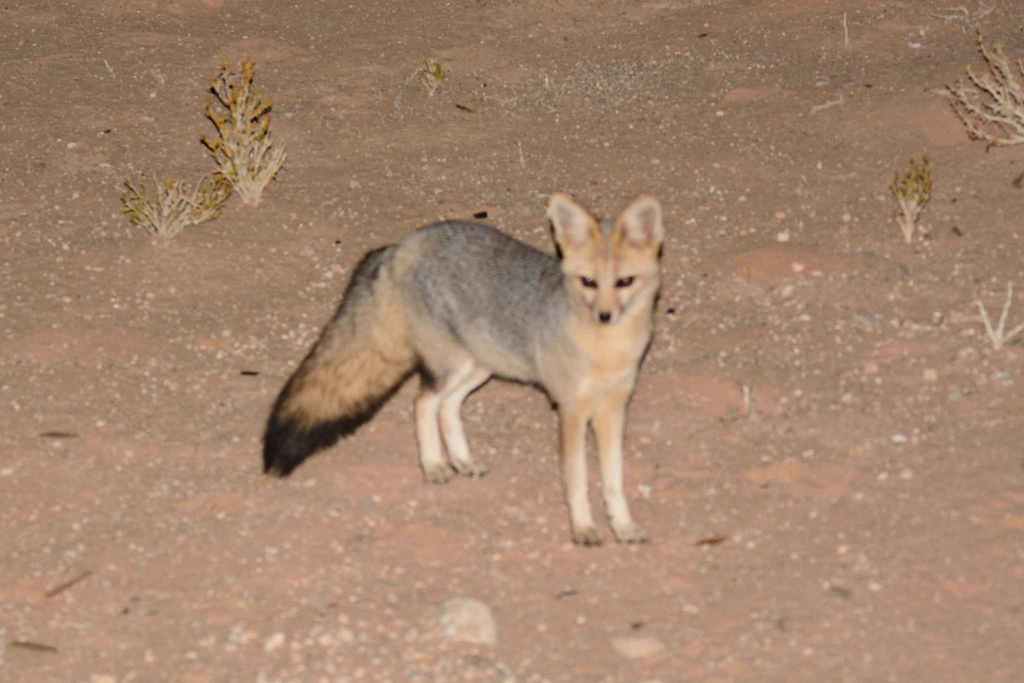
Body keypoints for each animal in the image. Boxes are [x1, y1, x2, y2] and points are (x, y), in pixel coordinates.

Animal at [264, 194, 663, 548]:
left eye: (624, 282)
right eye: (588, 282)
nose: (605, 316)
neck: (607, 352)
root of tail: (403, 243)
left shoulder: (614, 409)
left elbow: (613, 480)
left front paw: (623, 526)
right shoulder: (571, 411)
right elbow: (577, 479)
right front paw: (583, 528)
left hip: (477, 366)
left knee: (447, 406)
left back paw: (461, 460)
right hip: (452, 366)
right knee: (424, 403)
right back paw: (434, 465)